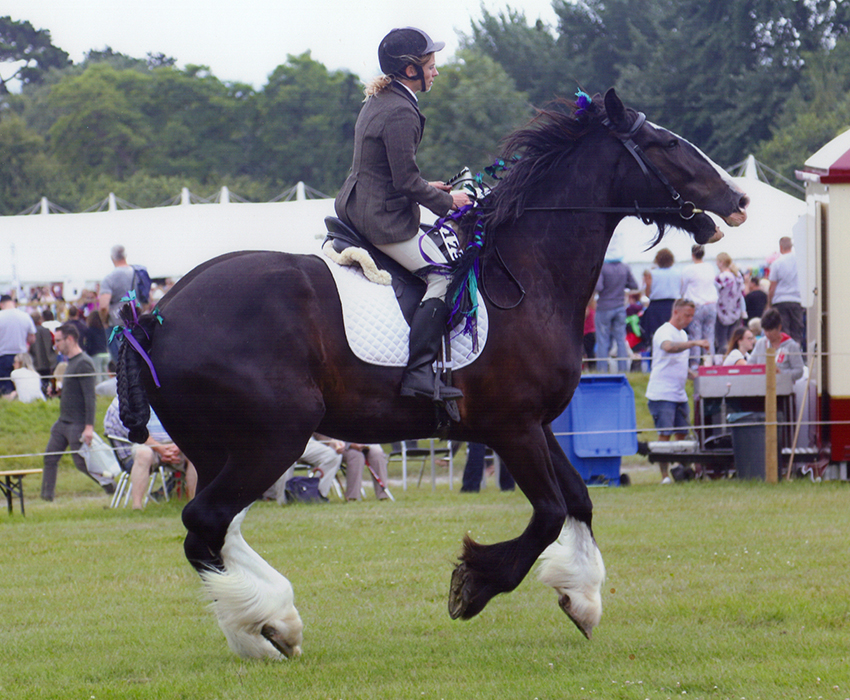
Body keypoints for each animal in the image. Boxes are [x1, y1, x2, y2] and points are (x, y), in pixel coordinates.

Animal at [117, 86, 744, 656]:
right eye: (665, 143)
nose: (738, 199)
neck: (530, 274)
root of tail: (157, 316)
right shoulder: (512, 428)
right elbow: (548, 513)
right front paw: (475, 583)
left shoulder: (534, 425)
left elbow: (579, 502)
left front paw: (583, 598)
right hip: (275, 437)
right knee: (206, 522)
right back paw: (269, 625)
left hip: (221, 448)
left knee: (216, 529)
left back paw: (267, 623)